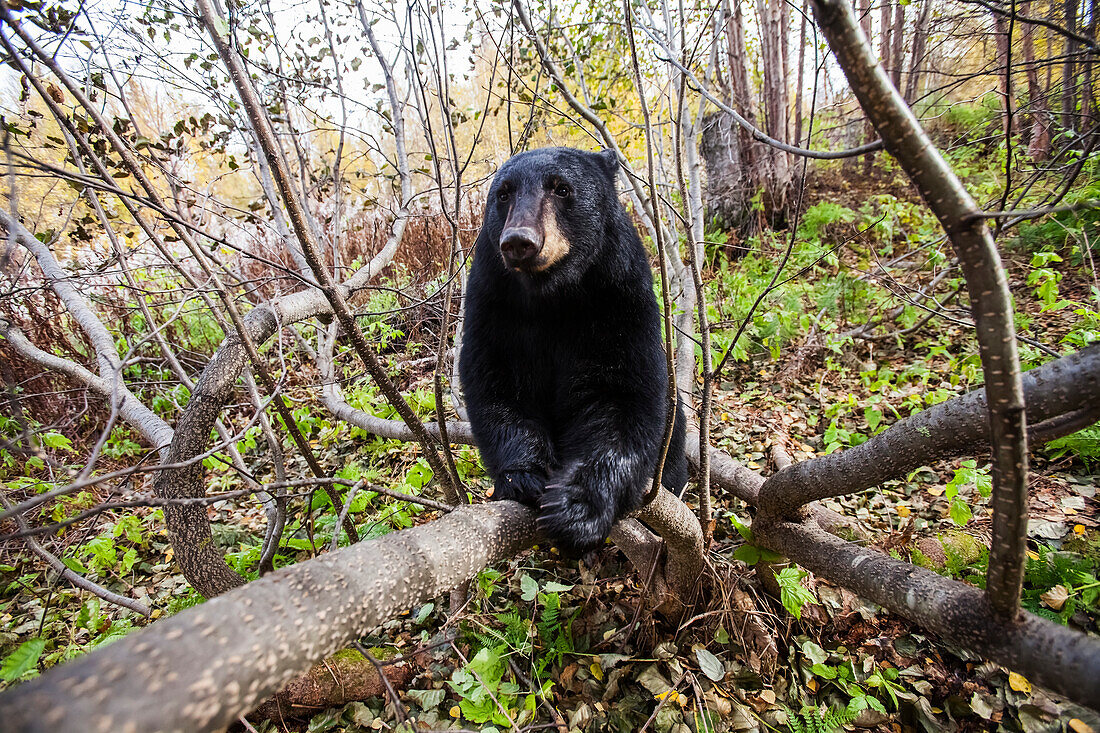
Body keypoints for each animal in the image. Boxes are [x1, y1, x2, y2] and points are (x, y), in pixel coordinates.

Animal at [457, 145, 682, 550]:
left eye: (561, 189)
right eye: (504, 194)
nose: (519, 241)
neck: (553, 294)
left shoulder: (618, 295)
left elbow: (621, 392)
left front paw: (580, 509)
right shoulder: (493, 298)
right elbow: (496, 380)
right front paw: (523, 476)